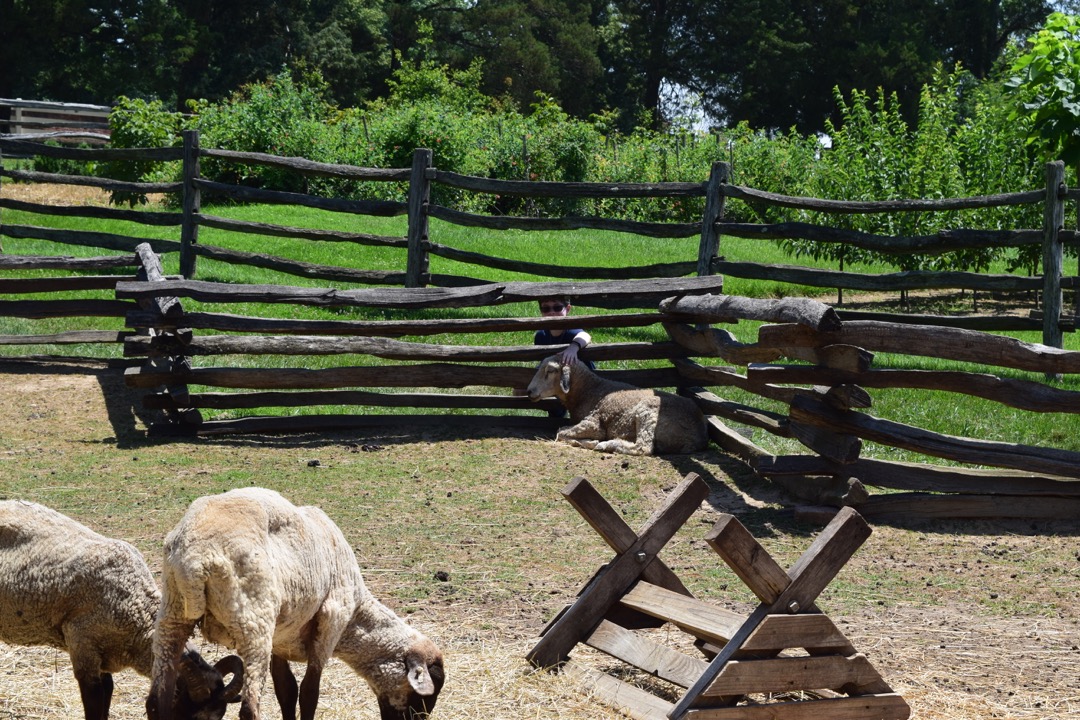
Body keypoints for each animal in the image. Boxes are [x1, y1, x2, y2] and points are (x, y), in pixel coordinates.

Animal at [149, 487, 445, 720]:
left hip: (172, 615)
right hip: (254, 623)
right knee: (249, 709)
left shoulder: (281, 638)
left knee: (156, 700)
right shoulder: (330, 621)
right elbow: (309, 692)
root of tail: (197, 559)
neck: (355, 620)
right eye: (424, 696)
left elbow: (286, 690)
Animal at [527, 355, 709, 455]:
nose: (529, 391)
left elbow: (561, 432)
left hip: (648, 412)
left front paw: (591, 442)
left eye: (550, 371)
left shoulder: (594, 423)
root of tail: (699, 436)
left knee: (643, 447)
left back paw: (608, 444)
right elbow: (563, 430)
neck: (589, 390)